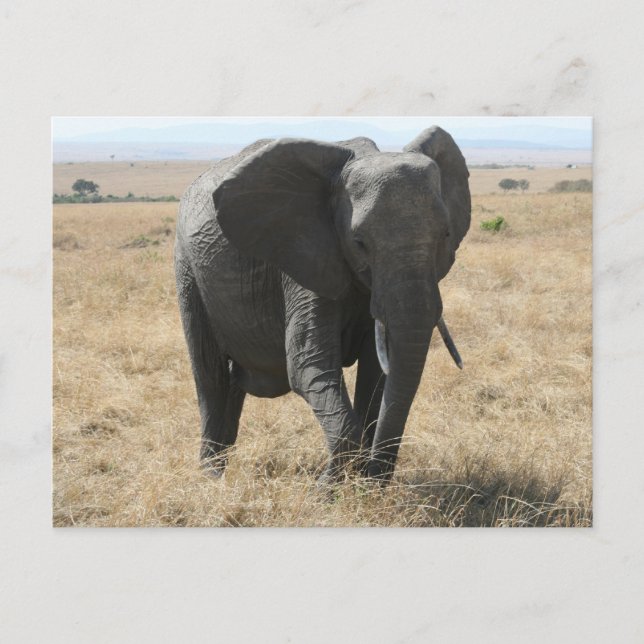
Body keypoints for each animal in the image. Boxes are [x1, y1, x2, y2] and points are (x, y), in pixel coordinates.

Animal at [174, 126, 471, 483]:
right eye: (359, 243)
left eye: (446, 234)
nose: (373, 476)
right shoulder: (303, 258)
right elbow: (308, 365)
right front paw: (329, 488)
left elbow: (376, 373)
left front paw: (361, 484)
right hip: (188, 268)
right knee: (210, 376)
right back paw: (212, 478)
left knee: (230, 382)